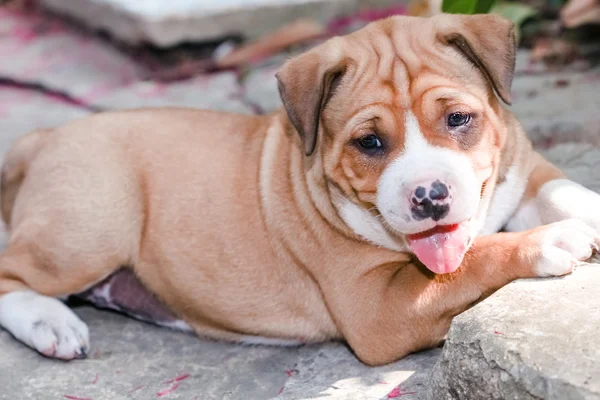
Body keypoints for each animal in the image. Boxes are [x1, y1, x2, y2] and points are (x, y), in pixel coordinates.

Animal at [1, 14, 600, 366]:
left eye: (458, 119)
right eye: (369, 142)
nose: (430, 195)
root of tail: (47, 136)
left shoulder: (522, 168)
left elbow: (560, 188)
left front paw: (582, 211)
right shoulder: (380, 307)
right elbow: (474, 259)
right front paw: (553, 240)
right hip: (87, 229)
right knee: (13, 273)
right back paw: (52, 324)